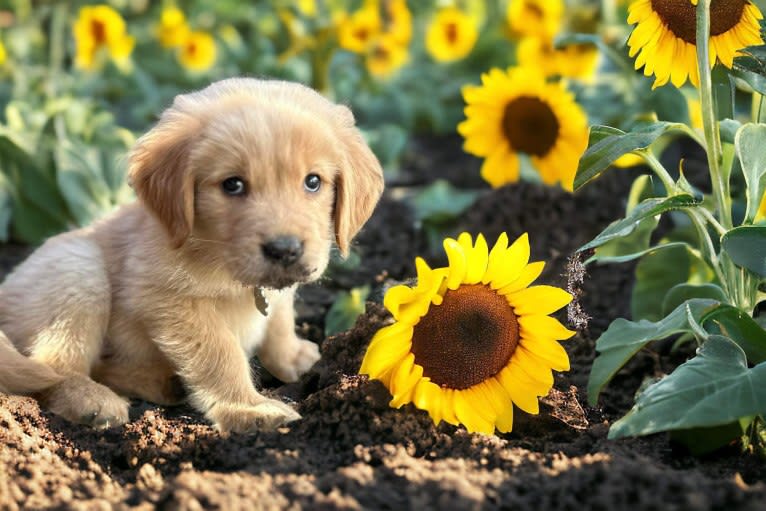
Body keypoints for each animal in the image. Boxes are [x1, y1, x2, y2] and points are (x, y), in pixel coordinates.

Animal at [0, 78, 384, 434]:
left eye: (313, 181)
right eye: (233, 185)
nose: (285, 249)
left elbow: (279, 318)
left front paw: (292, 356)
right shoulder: (166, 298)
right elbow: (220, 352)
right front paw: (249, 409)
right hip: (79, 270)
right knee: (54, 369)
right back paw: (93, 399)